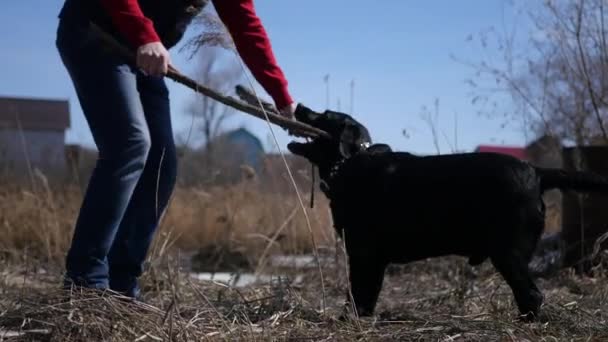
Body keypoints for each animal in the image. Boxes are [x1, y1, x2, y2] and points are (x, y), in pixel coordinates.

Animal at [288, 104, 608, 320]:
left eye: (324, 114)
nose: (298, 105)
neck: (351, 163)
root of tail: (536, 172)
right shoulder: (374, 259)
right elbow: (368, 295)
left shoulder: (362, 253)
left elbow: (356, 293)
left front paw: (347, 320)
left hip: (508, 252)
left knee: (532, 294)